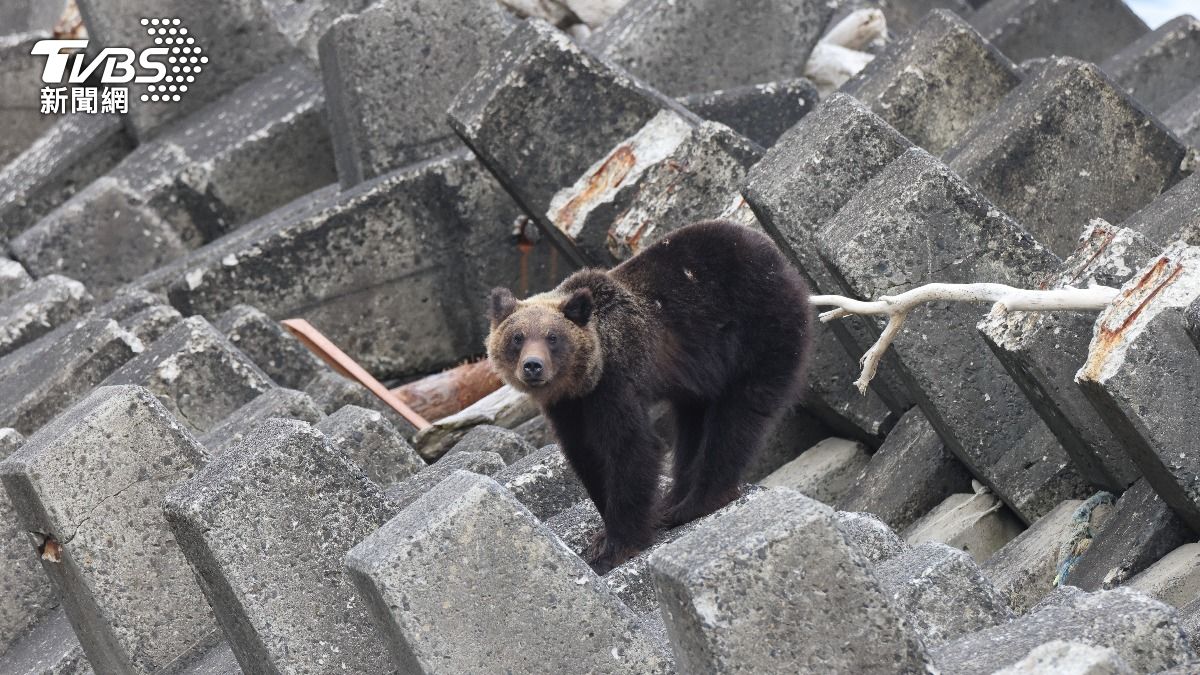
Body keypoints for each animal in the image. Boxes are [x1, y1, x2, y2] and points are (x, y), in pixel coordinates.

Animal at [487, 220, 812, 572]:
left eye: (553, 337)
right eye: (517, 337)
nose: (533, 366)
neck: (584, 380)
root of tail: (780, 259)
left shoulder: (616, 381)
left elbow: (629, 447)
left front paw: (618, 544)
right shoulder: (567, 406)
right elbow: (585, 455)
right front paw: (605, 535)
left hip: (758, 327)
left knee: (738, 417)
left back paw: (695, 503)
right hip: (700, 371)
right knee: (692, 427)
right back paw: (673, 499)